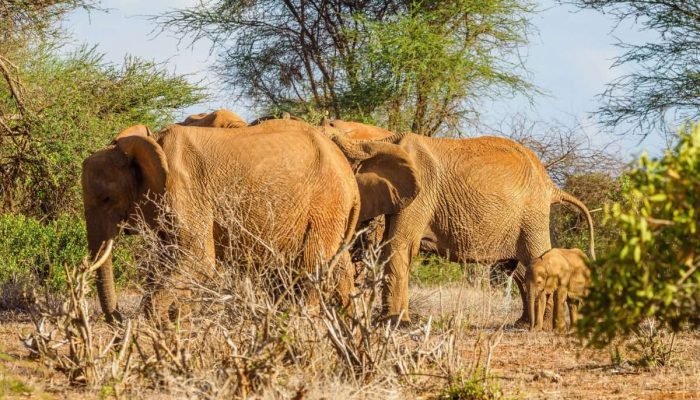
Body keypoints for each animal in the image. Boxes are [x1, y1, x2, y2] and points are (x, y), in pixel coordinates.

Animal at [81, 119, 418, 323]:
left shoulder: (185, 190)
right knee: (334, 269)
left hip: (325, 205)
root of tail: (348, 175)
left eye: (107, 199)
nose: (117, 319)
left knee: (311, 268)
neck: (150, 144)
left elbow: (196, 260)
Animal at [327, 119, 595, 325]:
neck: (376, 140)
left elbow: (397, 246)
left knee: (536, 259)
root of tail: (551, 184)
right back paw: (523, 323)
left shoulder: (422, 192)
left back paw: (543, 326)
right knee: (518, 266)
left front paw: (393, 323)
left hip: (532, 214)